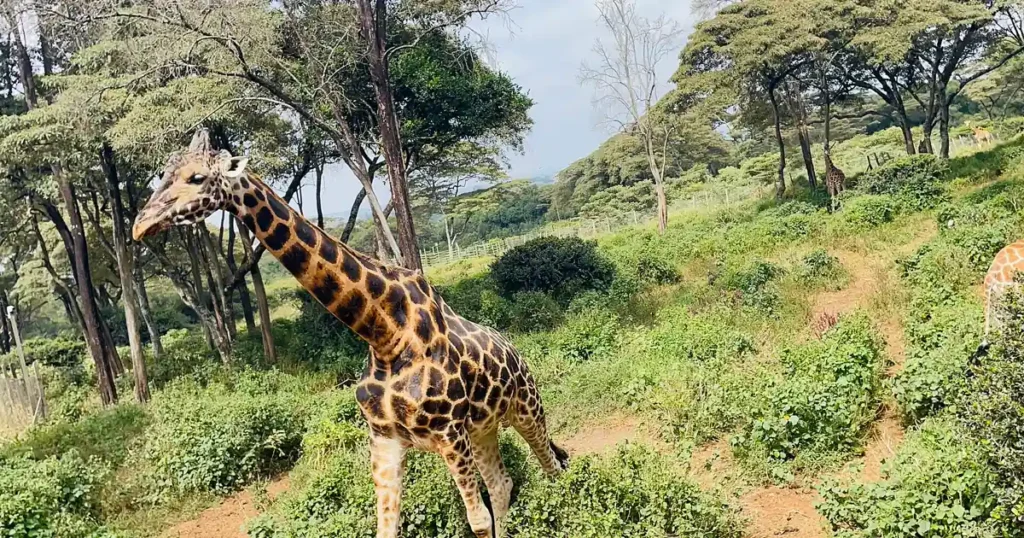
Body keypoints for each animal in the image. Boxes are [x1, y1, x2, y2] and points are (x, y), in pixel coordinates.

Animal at [131, 131, 569, 538]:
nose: (139, 225)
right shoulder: (386, 440)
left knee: (552, 465)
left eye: (197, 177)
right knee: (503, 483)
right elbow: (387, 528)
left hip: (526, 407)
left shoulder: (448, 434)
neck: (385, 335)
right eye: (163, 172)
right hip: (484, 428)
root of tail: (516, 350)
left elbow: (477, 521)